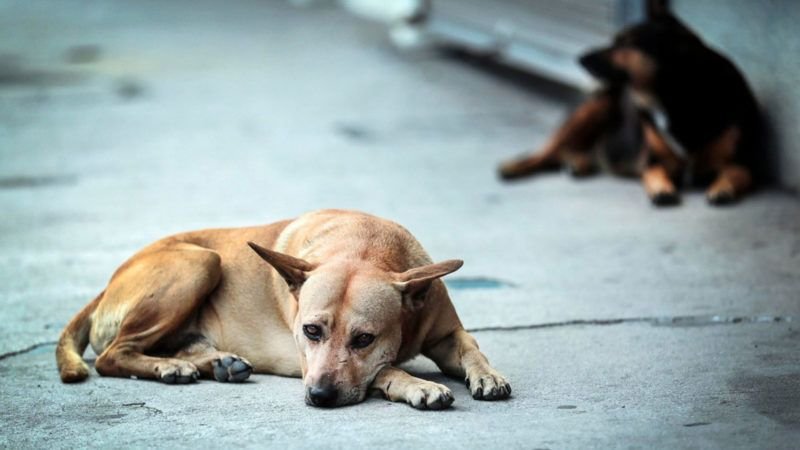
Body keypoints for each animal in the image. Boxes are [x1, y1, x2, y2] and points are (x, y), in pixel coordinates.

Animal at [56, 209, 510, 410]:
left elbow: (471, 348)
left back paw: (215, 363)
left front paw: (488, 375)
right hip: (200, 262)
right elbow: (386, 369)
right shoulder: (309, 361)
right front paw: (416, 383)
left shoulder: (446, 333)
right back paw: (170, 367)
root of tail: (108, 284)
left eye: (364, 338)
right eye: (310, 331)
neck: (365, 247)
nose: (320, 396)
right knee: (112, 356)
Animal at [500, 1, 764, 206]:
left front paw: (723, 187)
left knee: (569, 152)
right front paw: (662, 189)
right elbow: (654, 172)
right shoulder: (653, 161)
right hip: (594, 108)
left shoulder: (743, 162)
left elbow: (736, 173)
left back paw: (578, 162)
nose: (579, 58)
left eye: (626, 43)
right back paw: (513, 167)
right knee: (546, 152)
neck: (676, 99)